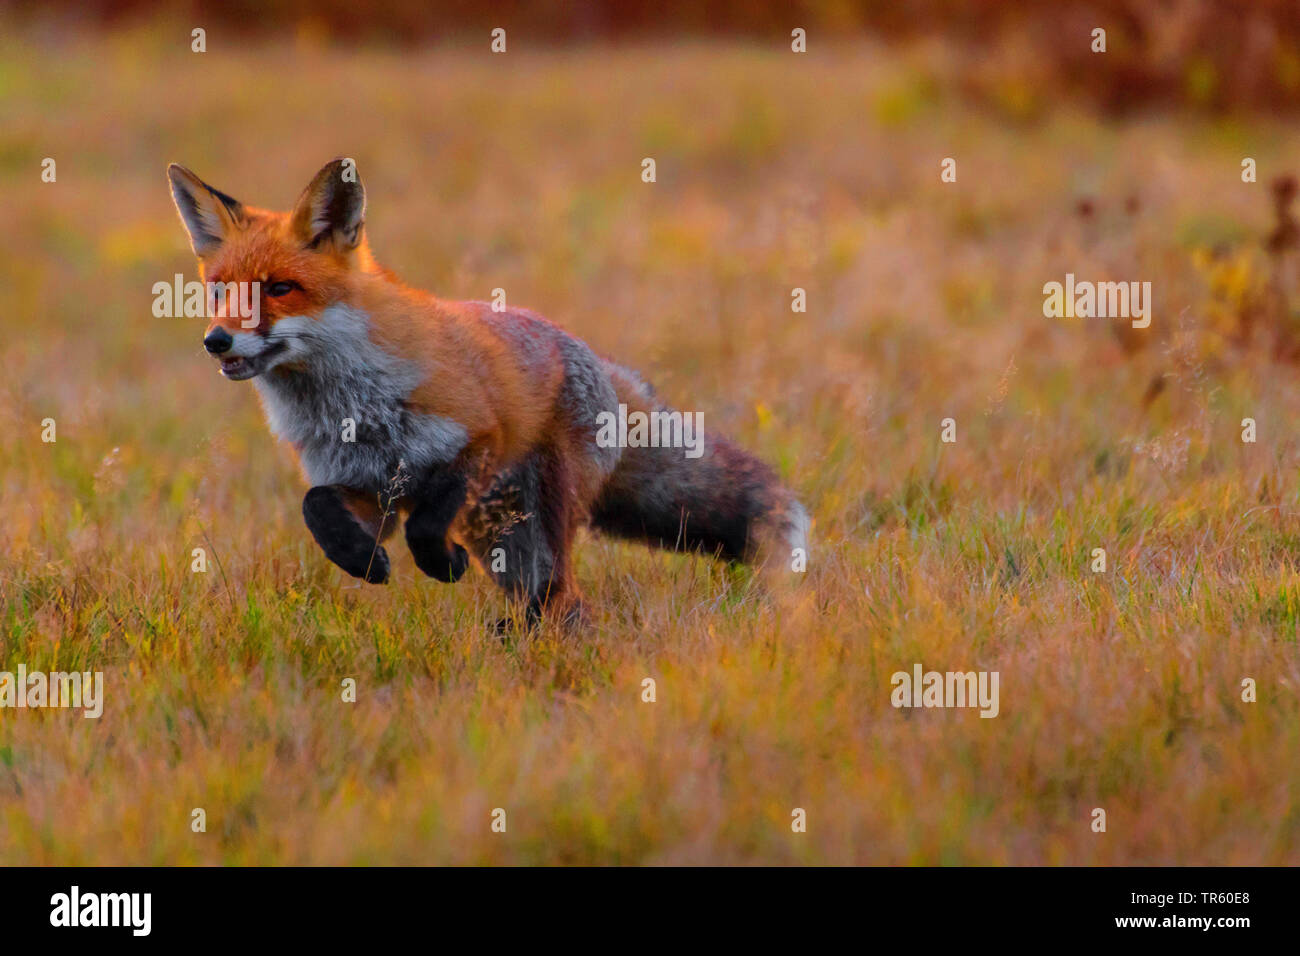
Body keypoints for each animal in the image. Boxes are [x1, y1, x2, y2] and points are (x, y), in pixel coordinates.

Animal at [167, 160, 806, 624]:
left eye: (279, 288)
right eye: (219, 291)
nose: (216, 341)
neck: (352, 403)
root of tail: (596, 358)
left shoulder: (475, 440)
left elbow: (428, 521)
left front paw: (441, 564)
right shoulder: (365, 485)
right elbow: (316, 507)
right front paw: (362, 562)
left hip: (537, 516)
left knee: (561, 594)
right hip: (501, 534)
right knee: (555, 598)